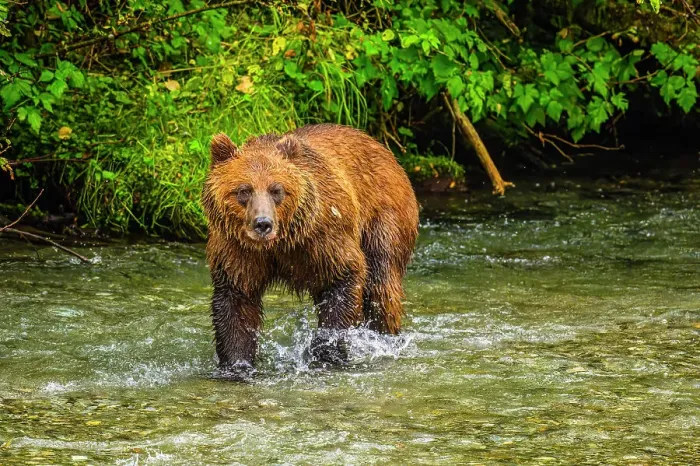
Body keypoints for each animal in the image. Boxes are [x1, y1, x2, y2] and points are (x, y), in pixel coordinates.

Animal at [201, 124, 419, 377]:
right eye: (244, 190)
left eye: (277, 190)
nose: (263, 223)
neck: (280, 243)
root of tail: (385, 150)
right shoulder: (238, 250)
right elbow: (236, 301)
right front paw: (237, 365)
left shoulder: (324, 236)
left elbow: (344, 277)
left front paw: (326, 351)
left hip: (384, 217)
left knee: (381, 285)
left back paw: (384, 338)